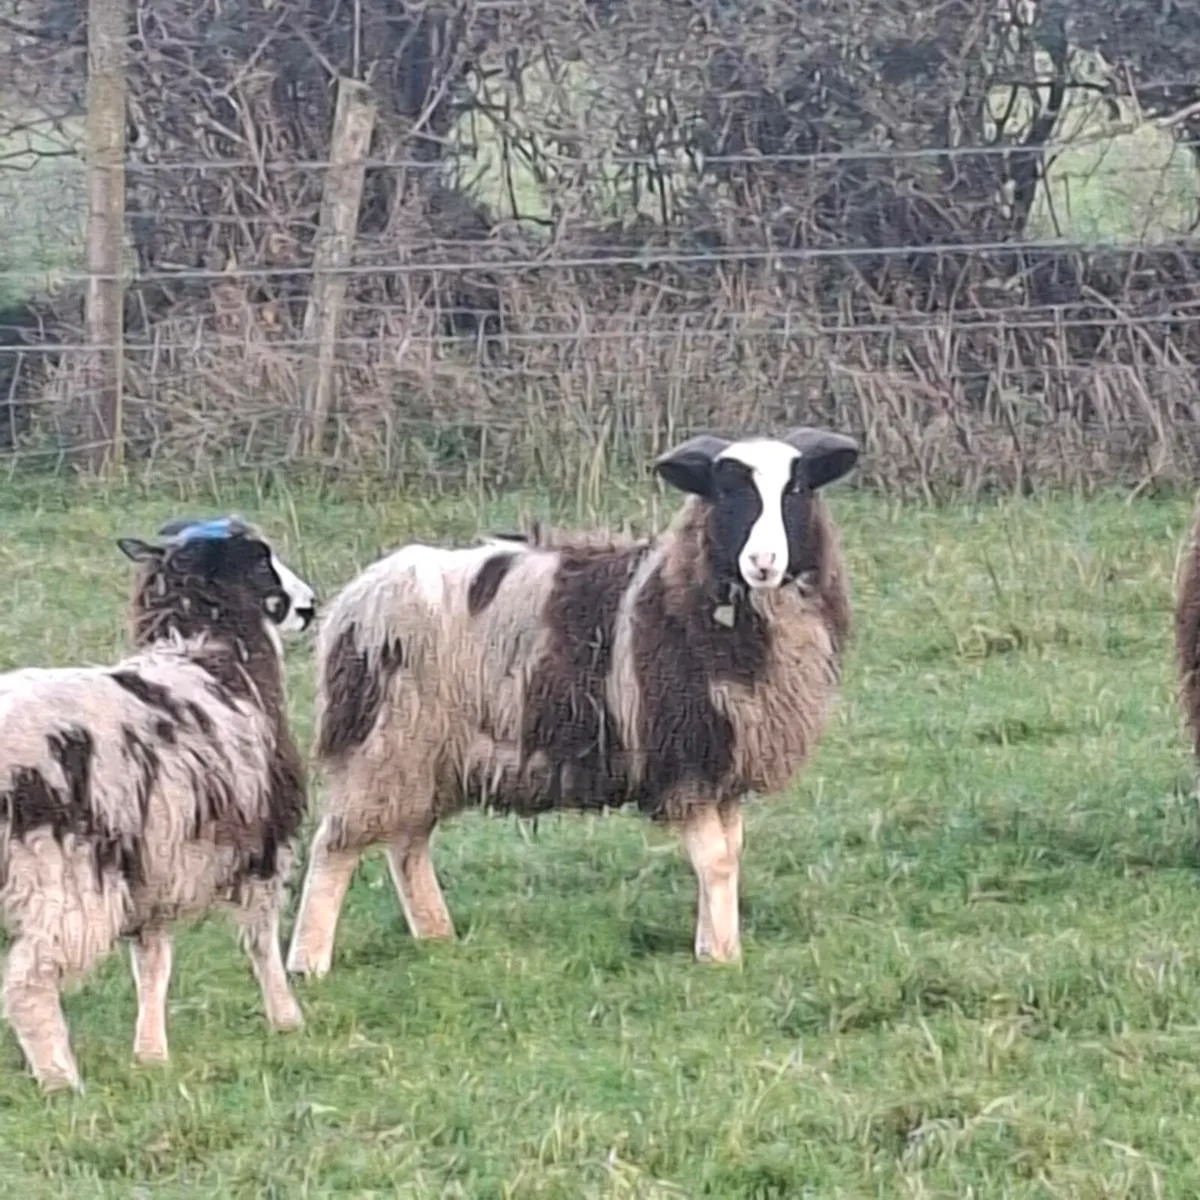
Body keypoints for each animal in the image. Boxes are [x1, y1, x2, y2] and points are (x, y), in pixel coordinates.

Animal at [0, 515, 316, 1091]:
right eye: (262, 559)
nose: (309, 606)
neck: (214, 656)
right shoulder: (265, 841)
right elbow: (261, 940)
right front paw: (287, 1019)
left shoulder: (156, 867)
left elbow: (152, 963)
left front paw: (150, 1054)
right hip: (61, 873)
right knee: (28, 981)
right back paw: (60, 1080)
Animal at [286, 426, 858, 975]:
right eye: (726, 490)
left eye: (797, 489)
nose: (763, 562)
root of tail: (356, 599)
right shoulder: (683, 757)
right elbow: (715, 860)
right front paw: (721, 959)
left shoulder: (723, 763)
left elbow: (729, 854)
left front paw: (713, 943)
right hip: (386, 742)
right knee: (335, 844)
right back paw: (307, 962)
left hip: (425, 753)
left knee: (406, 843)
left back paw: (437, 938)